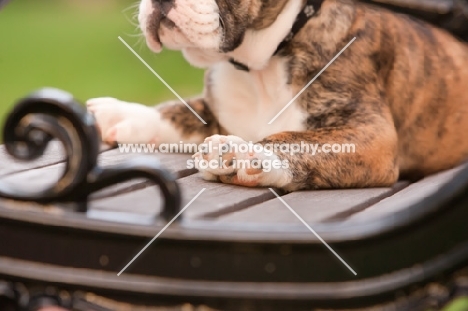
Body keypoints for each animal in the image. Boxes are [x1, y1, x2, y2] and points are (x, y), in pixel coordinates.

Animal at [87, 0, 468, 191]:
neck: (262, 65)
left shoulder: (370, 133)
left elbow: (299, 140)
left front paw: (246, 153)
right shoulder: (217, 109)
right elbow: (180, 111)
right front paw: (118, 114)